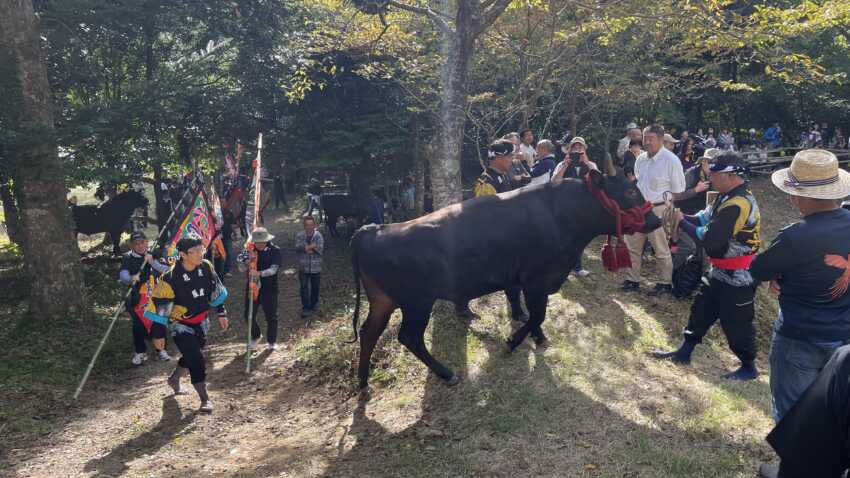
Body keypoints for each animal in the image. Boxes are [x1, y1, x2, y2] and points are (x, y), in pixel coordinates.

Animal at [348, 172, 660, 388]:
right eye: (630, 190)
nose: (656, 220)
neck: (562, 216)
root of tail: (374, 229)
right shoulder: (536, 279)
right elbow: (537, 314)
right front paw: (513, 341)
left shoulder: (534, 281)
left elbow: (536, 314)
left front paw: (538, 338)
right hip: (417, 302)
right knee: (409, 336)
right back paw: (447, 374)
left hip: (383, 301)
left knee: (368, 332)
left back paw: (363, 382)